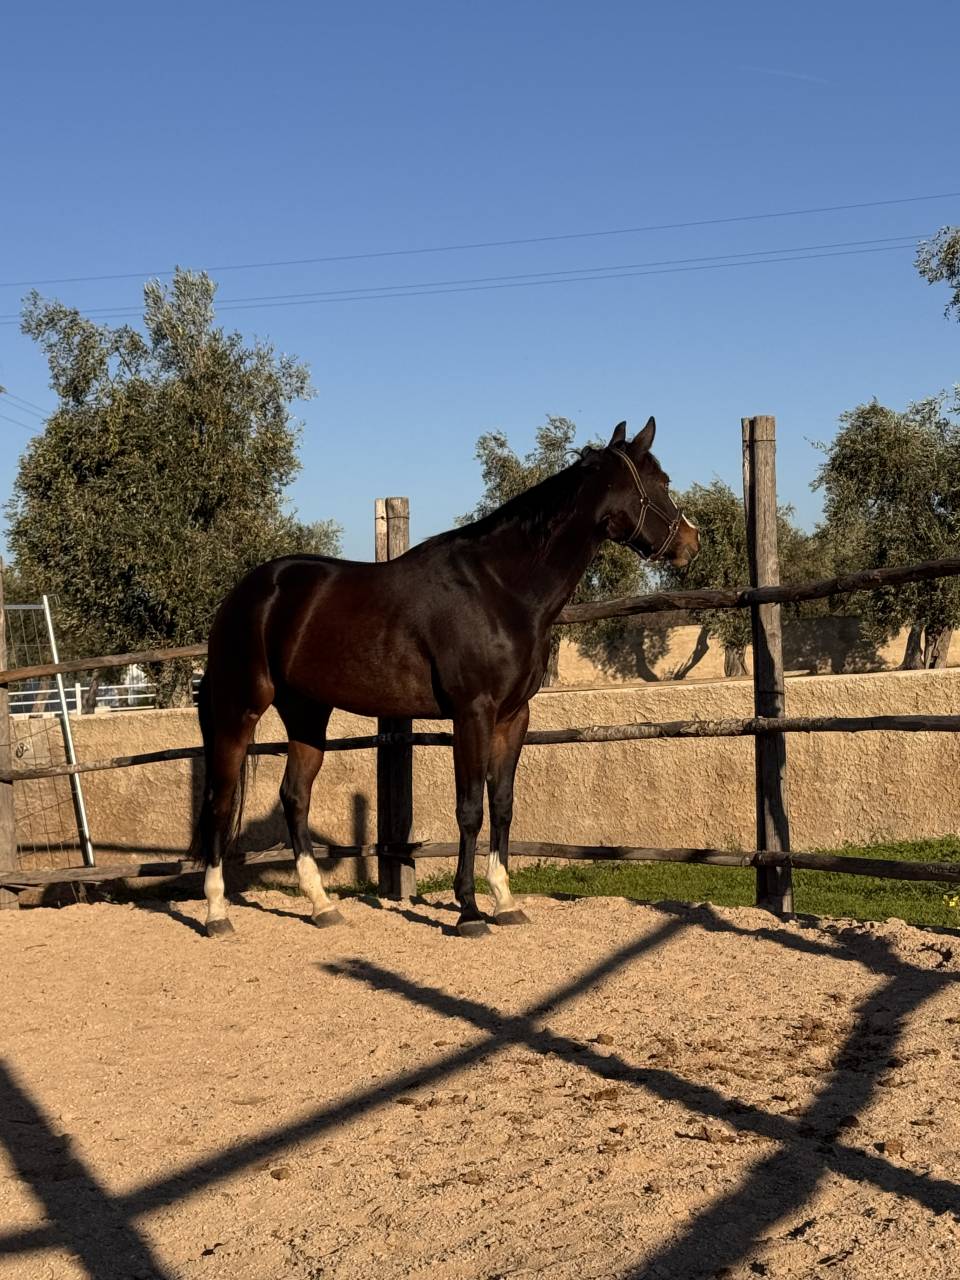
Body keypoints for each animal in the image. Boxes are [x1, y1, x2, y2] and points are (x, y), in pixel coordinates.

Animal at [195, 417, 699, 938]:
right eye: (660, 483)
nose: (691, 542)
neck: (499, 589)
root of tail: (246, 594)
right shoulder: (471, 713)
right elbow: (470, 809)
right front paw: (469, 911)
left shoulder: (513, 717)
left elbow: (502, 804)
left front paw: (505, 901)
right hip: (239, 708)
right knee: (219, 800)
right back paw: (216, 913)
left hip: (308, 713)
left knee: (295, 798)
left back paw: (321, 906)